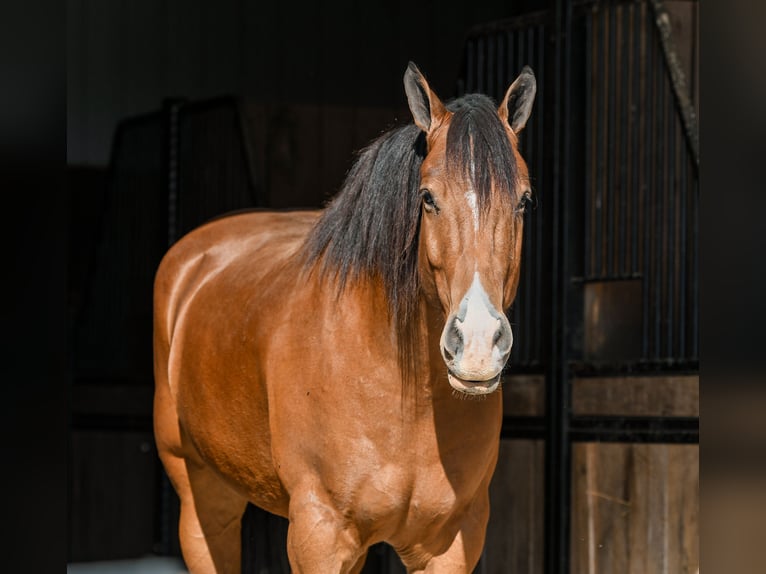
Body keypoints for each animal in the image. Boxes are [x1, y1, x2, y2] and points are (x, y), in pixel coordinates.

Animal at [153, 60, 536, 572]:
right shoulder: (320, 534)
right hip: (203, 503)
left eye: (524, 202)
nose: (476, 345)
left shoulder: (453, 542)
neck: (406, 396)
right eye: (428, 197)